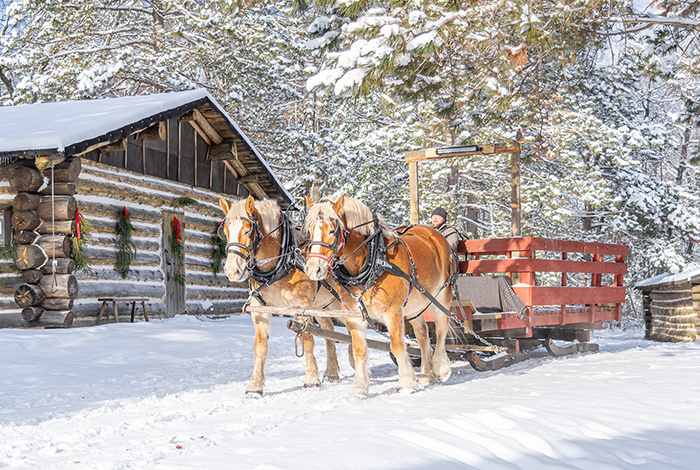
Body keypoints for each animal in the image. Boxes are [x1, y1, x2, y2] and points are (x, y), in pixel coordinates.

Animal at [219, 195, 340, 396]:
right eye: (226, 230)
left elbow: (307, 340)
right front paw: (255, 386)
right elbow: (260, 346)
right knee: (329, 331)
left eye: (248, 230)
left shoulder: (301, 307)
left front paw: (311, 379)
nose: (232, 271)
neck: (281, 263)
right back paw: (332, 372)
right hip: (321, 307)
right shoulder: (259, 309)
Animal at [304, 195, 452, 396]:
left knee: (441, 330)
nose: (313, 269)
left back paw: (441, 368)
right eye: (310, 230)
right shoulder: (354, 314)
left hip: (442, 296)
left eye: (333, 230)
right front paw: (359, 388)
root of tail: (433, 233)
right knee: (423, 336)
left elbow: (397, 346)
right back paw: (426, 375)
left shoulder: (393, 311)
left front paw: (405, 383)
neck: (373, 260)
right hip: (414, 305)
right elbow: (359, 350)